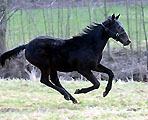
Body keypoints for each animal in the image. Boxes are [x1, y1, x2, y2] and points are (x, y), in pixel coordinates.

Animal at [0, 13, 131, 103]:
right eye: (118, 27)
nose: (128, 41)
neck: (89, 44)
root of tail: (27, 45)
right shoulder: (83, 69)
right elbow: (97, 83)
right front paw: (79, 91)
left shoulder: (95, 66)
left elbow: (110, 73)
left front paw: (106, 92)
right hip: (45, 66)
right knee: (45, 80)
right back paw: (69, 96)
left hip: (52, 67)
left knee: (54, 80)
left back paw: (71, 98)